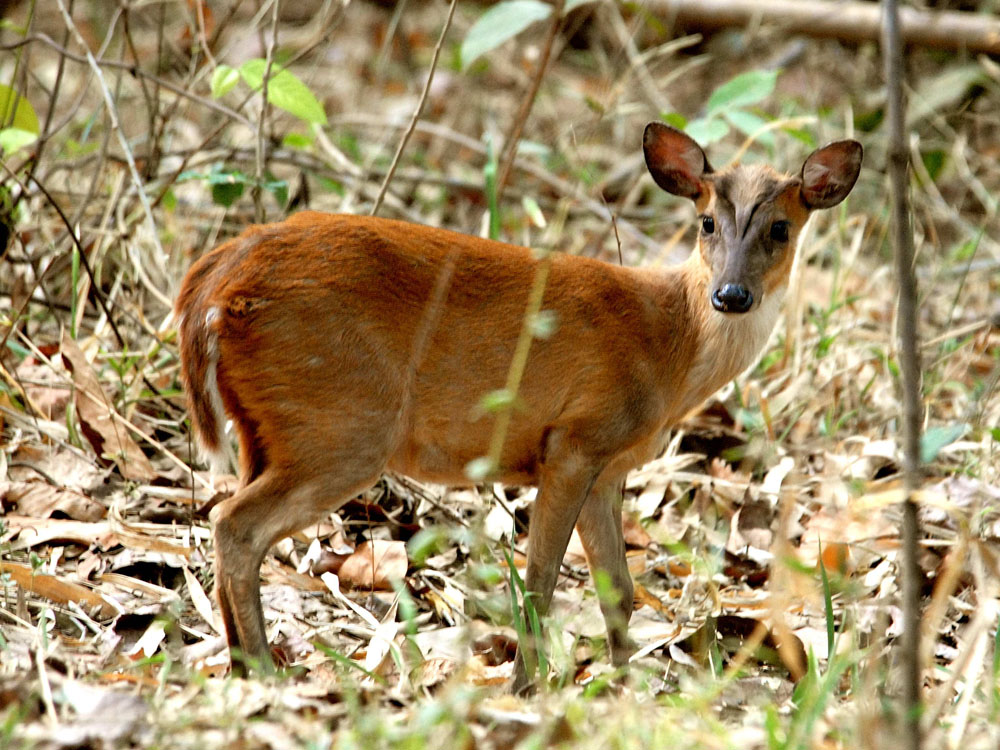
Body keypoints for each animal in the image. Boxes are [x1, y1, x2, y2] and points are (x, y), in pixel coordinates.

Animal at [176, 123, 864, 692]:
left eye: (780, 228)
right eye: (707, 224)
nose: (731, 294)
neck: (670, 346)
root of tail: (212, 284)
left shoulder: (608, 466)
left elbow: (620, 588)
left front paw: (626, 686)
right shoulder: (575, 438)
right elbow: (540, 583)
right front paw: (527, 688)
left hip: (267, 427)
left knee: (226, 520)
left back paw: (240, 664)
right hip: (343, 420)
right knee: (236, 524)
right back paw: (263, 671)